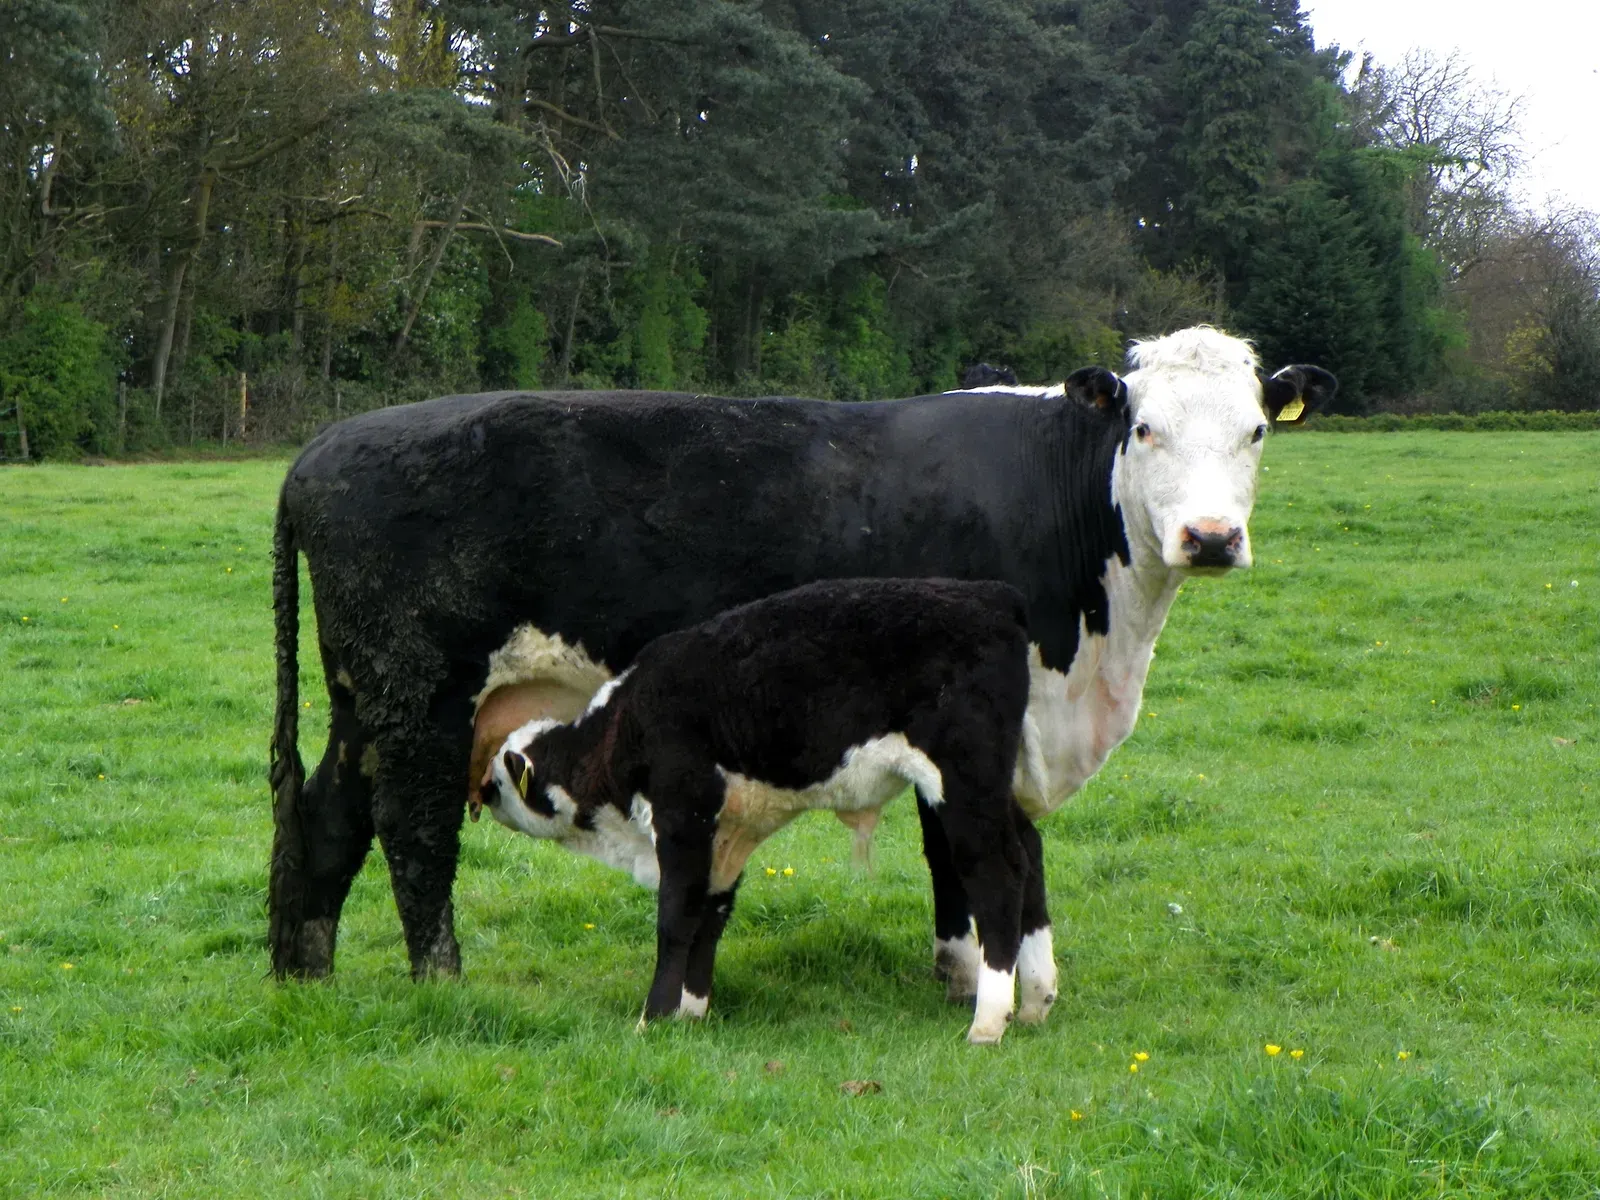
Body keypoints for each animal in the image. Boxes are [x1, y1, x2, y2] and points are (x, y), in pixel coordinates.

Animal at [268, 325, 1335, 990]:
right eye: (1144, 427)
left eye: (1254, 432)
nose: (1210, 537)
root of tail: (321, 446)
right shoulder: (962, 712)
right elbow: (956, 845)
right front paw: (964, 973)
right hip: (422, 691)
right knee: (411, 828)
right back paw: (440, 979)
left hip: (367, 697)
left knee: (325, 816)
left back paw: (303, 976)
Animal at [474, 578, 1040, 1043]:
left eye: (496, 783)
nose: (476, 795)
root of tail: (991, 595)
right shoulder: (728, 835)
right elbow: (708, 914)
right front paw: (691, 1013)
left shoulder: (684, 815)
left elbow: (675, 916)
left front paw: (653, 1018)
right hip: (995, 782)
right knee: (1030, 852)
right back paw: (1036, 1000)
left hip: (964, 781)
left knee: (998, 873)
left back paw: (989, 1021)